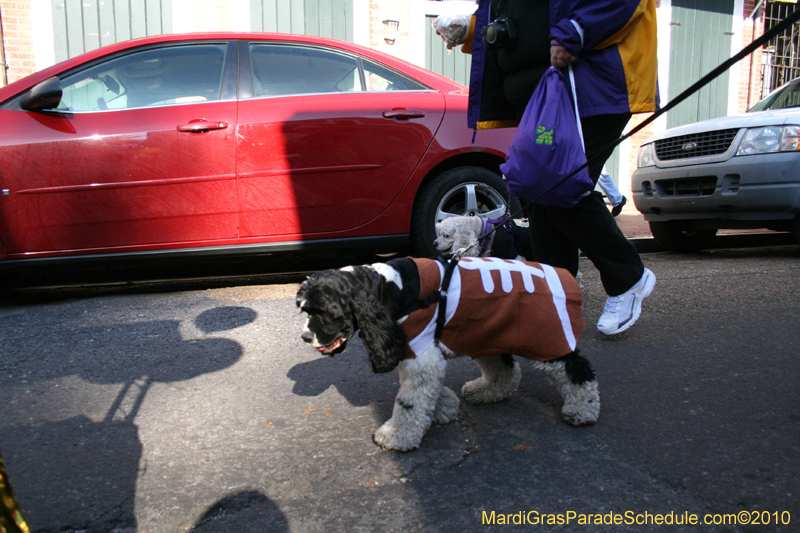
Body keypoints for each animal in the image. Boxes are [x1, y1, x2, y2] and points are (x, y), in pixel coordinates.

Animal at [298, 256, 600, 450]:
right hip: (487, 332)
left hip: (547, 338)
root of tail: (567, 276)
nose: (305, 336)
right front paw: (445, 406)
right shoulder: (419, 352)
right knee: (505, 371)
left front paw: (398, 435)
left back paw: (582, 410)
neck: (389, 287)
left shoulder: (420, 353)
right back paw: (485, 392)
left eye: (326, 312)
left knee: (577, 370)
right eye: (304, 310)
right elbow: (426, 392)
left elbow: (409, 402)